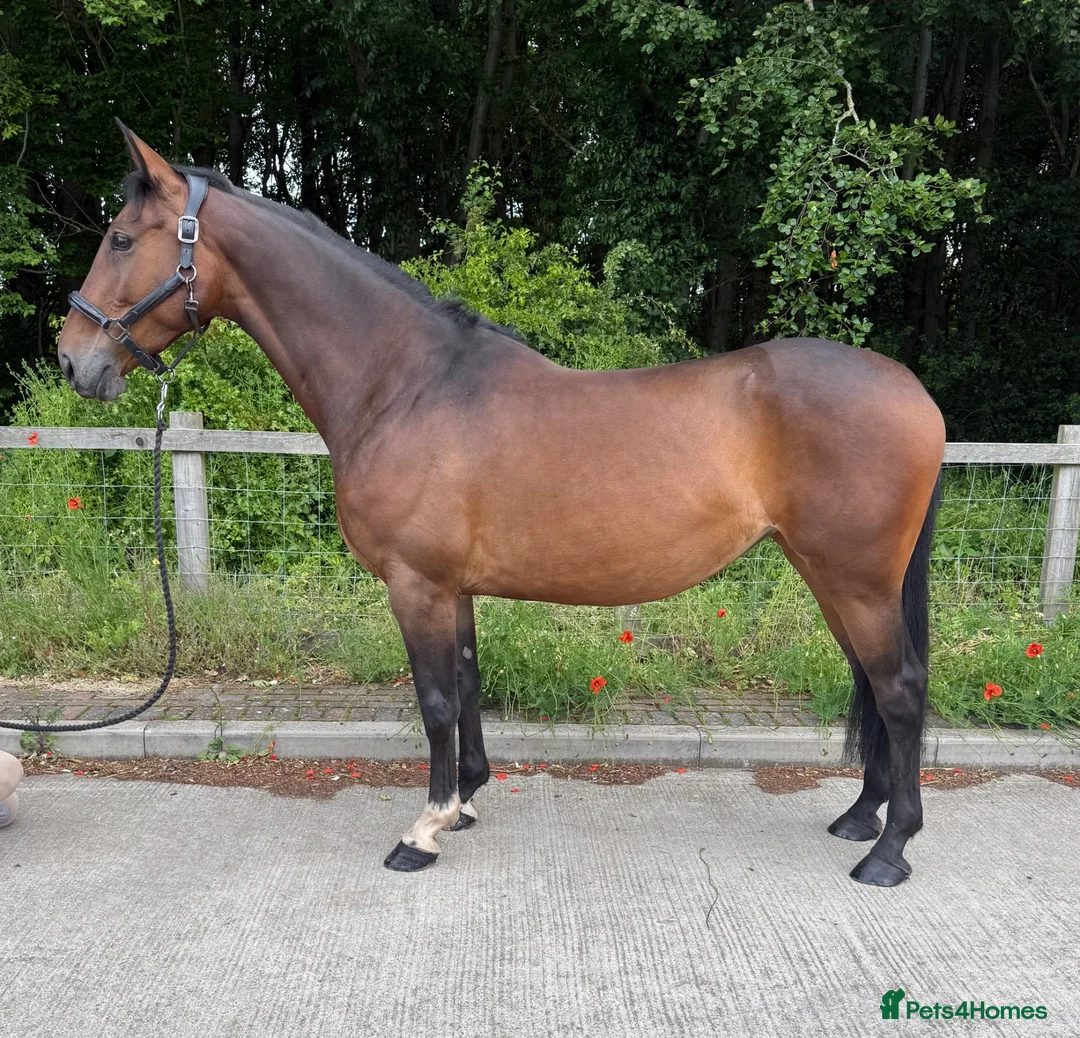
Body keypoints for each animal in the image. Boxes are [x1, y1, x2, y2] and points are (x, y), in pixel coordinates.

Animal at [57, 124, 944, 886]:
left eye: (122, 239)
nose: (73, 359)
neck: (403, 384)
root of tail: (914, 392)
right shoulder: (452, 587)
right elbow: (468, 683)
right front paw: (467, 802)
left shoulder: (416, 584)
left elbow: (435, 700)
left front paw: (423, 830)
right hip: (830, 576)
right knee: (874, 683)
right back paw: (860, 817)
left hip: (855, 579)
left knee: (899, 689)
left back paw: (890, 850)